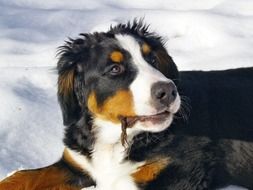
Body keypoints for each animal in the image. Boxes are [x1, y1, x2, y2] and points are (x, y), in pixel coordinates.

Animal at [0, 20, 253, 190]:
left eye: (153, 59)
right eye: (115, 69)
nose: (169, 92)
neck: (114, 139)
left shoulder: (186, 168)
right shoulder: (76, 162)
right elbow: (22, 176)